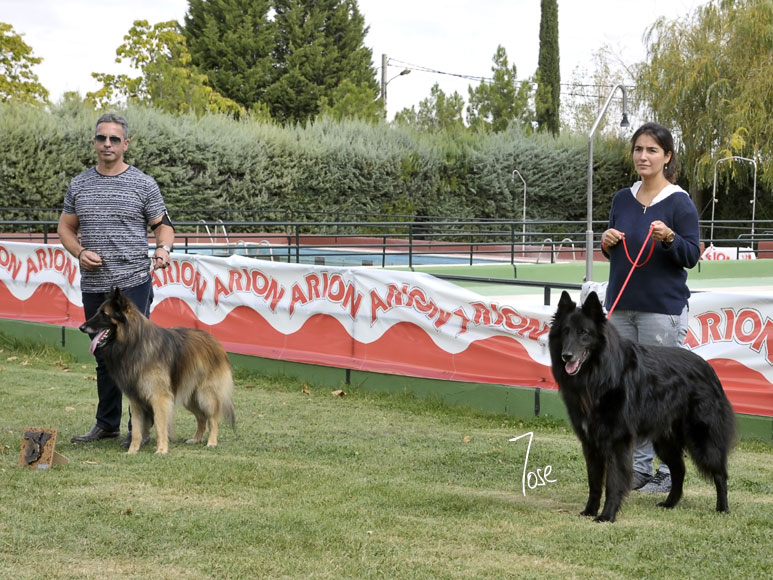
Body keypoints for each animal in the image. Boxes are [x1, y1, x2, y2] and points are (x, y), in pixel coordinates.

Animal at [80, 287, 235, 455]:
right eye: (98, 312)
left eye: (104, 314)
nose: (81, 327)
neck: (133, 344)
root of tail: (215, 342)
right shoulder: (136, 399)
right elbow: (136, 429)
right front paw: (132, 451)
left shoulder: (159, 398)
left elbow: (160, 425)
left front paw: (161, 449)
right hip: (190, 396)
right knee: (201, 417)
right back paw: (196, 439)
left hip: (205, 395)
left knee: (212, 418)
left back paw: (212, 442)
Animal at [548, 290, 735, 522]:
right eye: (565, 331)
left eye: (584, 332)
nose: (567, 356)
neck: (600, 376)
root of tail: (709, 368)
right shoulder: (590, 443)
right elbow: (594, 483)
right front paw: (589, 511)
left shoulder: (617, 442)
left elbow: (613, 482)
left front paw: (607, 516)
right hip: (665, 442)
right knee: (679, 471)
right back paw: (670, 504)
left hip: (703, 440)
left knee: (720, 474)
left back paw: (723, 508)